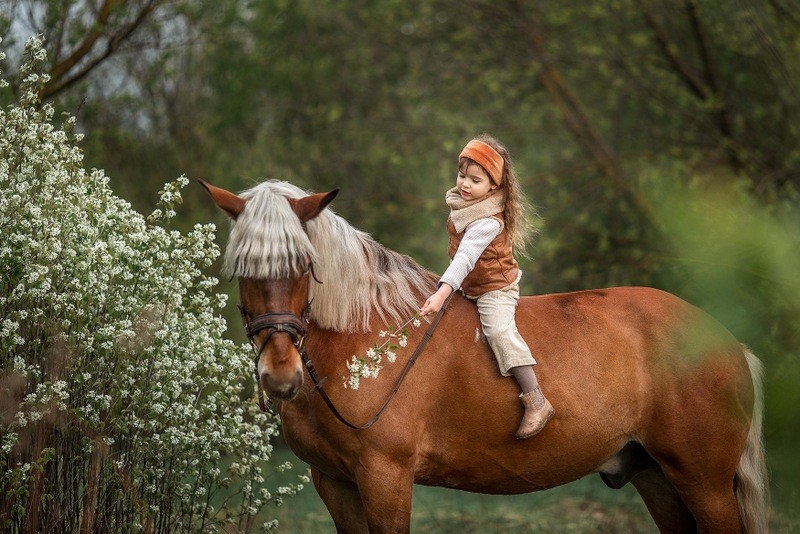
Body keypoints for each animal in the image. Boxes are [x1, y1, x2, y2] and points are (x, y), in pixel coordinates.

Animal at [200, 180, 768, 534]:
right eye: (243, 267)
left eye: (303, 265)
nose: (280, 376)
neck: (367, 341)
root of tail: (724, 339)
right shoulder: (334, 483)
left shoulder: (385, 478)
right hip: (659, 479)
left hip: (705, 484)